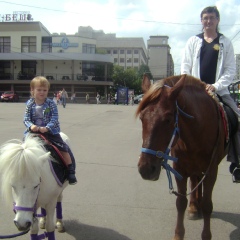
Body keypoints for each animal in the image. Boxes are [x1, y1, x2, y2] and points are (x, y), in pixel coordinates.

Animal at [137, 74, 227, 239]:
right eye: (141, 118)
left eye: (168, 119)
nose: (146, 169)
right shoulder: (180, 169)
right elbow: (180, 202)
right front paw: (178, 234)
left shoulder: (212, 171)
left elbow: (207, 205)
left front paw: (206, 234)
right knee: (195, 181)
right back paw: (194, 207)